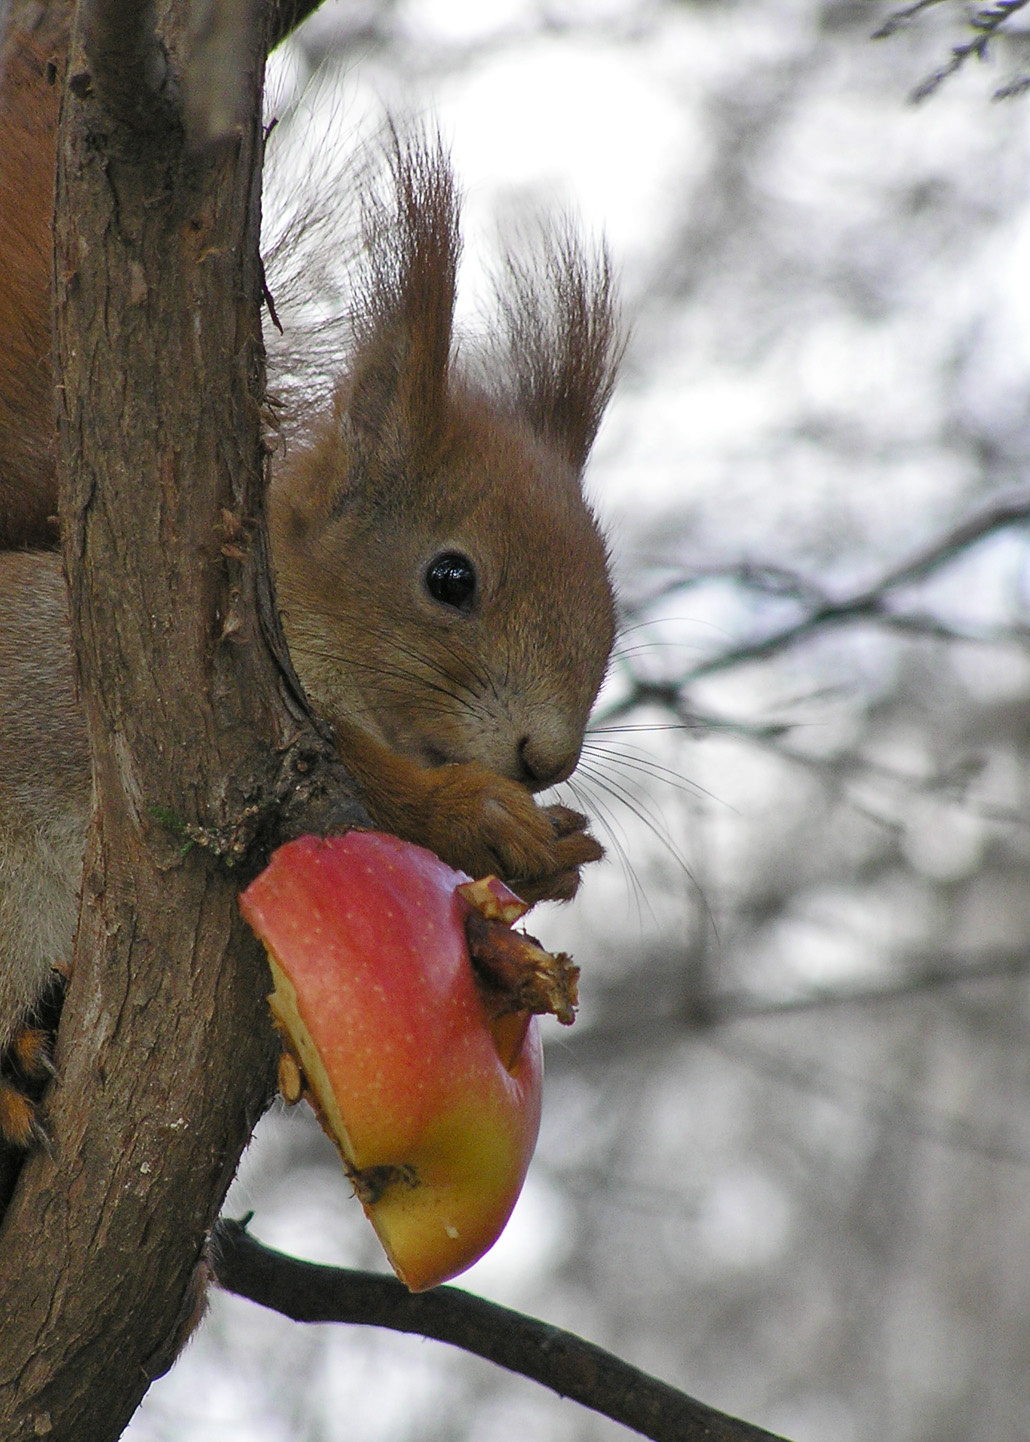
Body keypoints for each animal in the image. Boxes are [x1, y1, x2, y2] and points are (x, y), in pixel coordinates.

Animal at [0, 19, 617, 1147]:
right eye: (450, 577)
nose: (544, 759)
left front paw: (556, 851)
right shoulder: (141, 718)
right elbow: (346, 781)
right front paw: (479, 813)